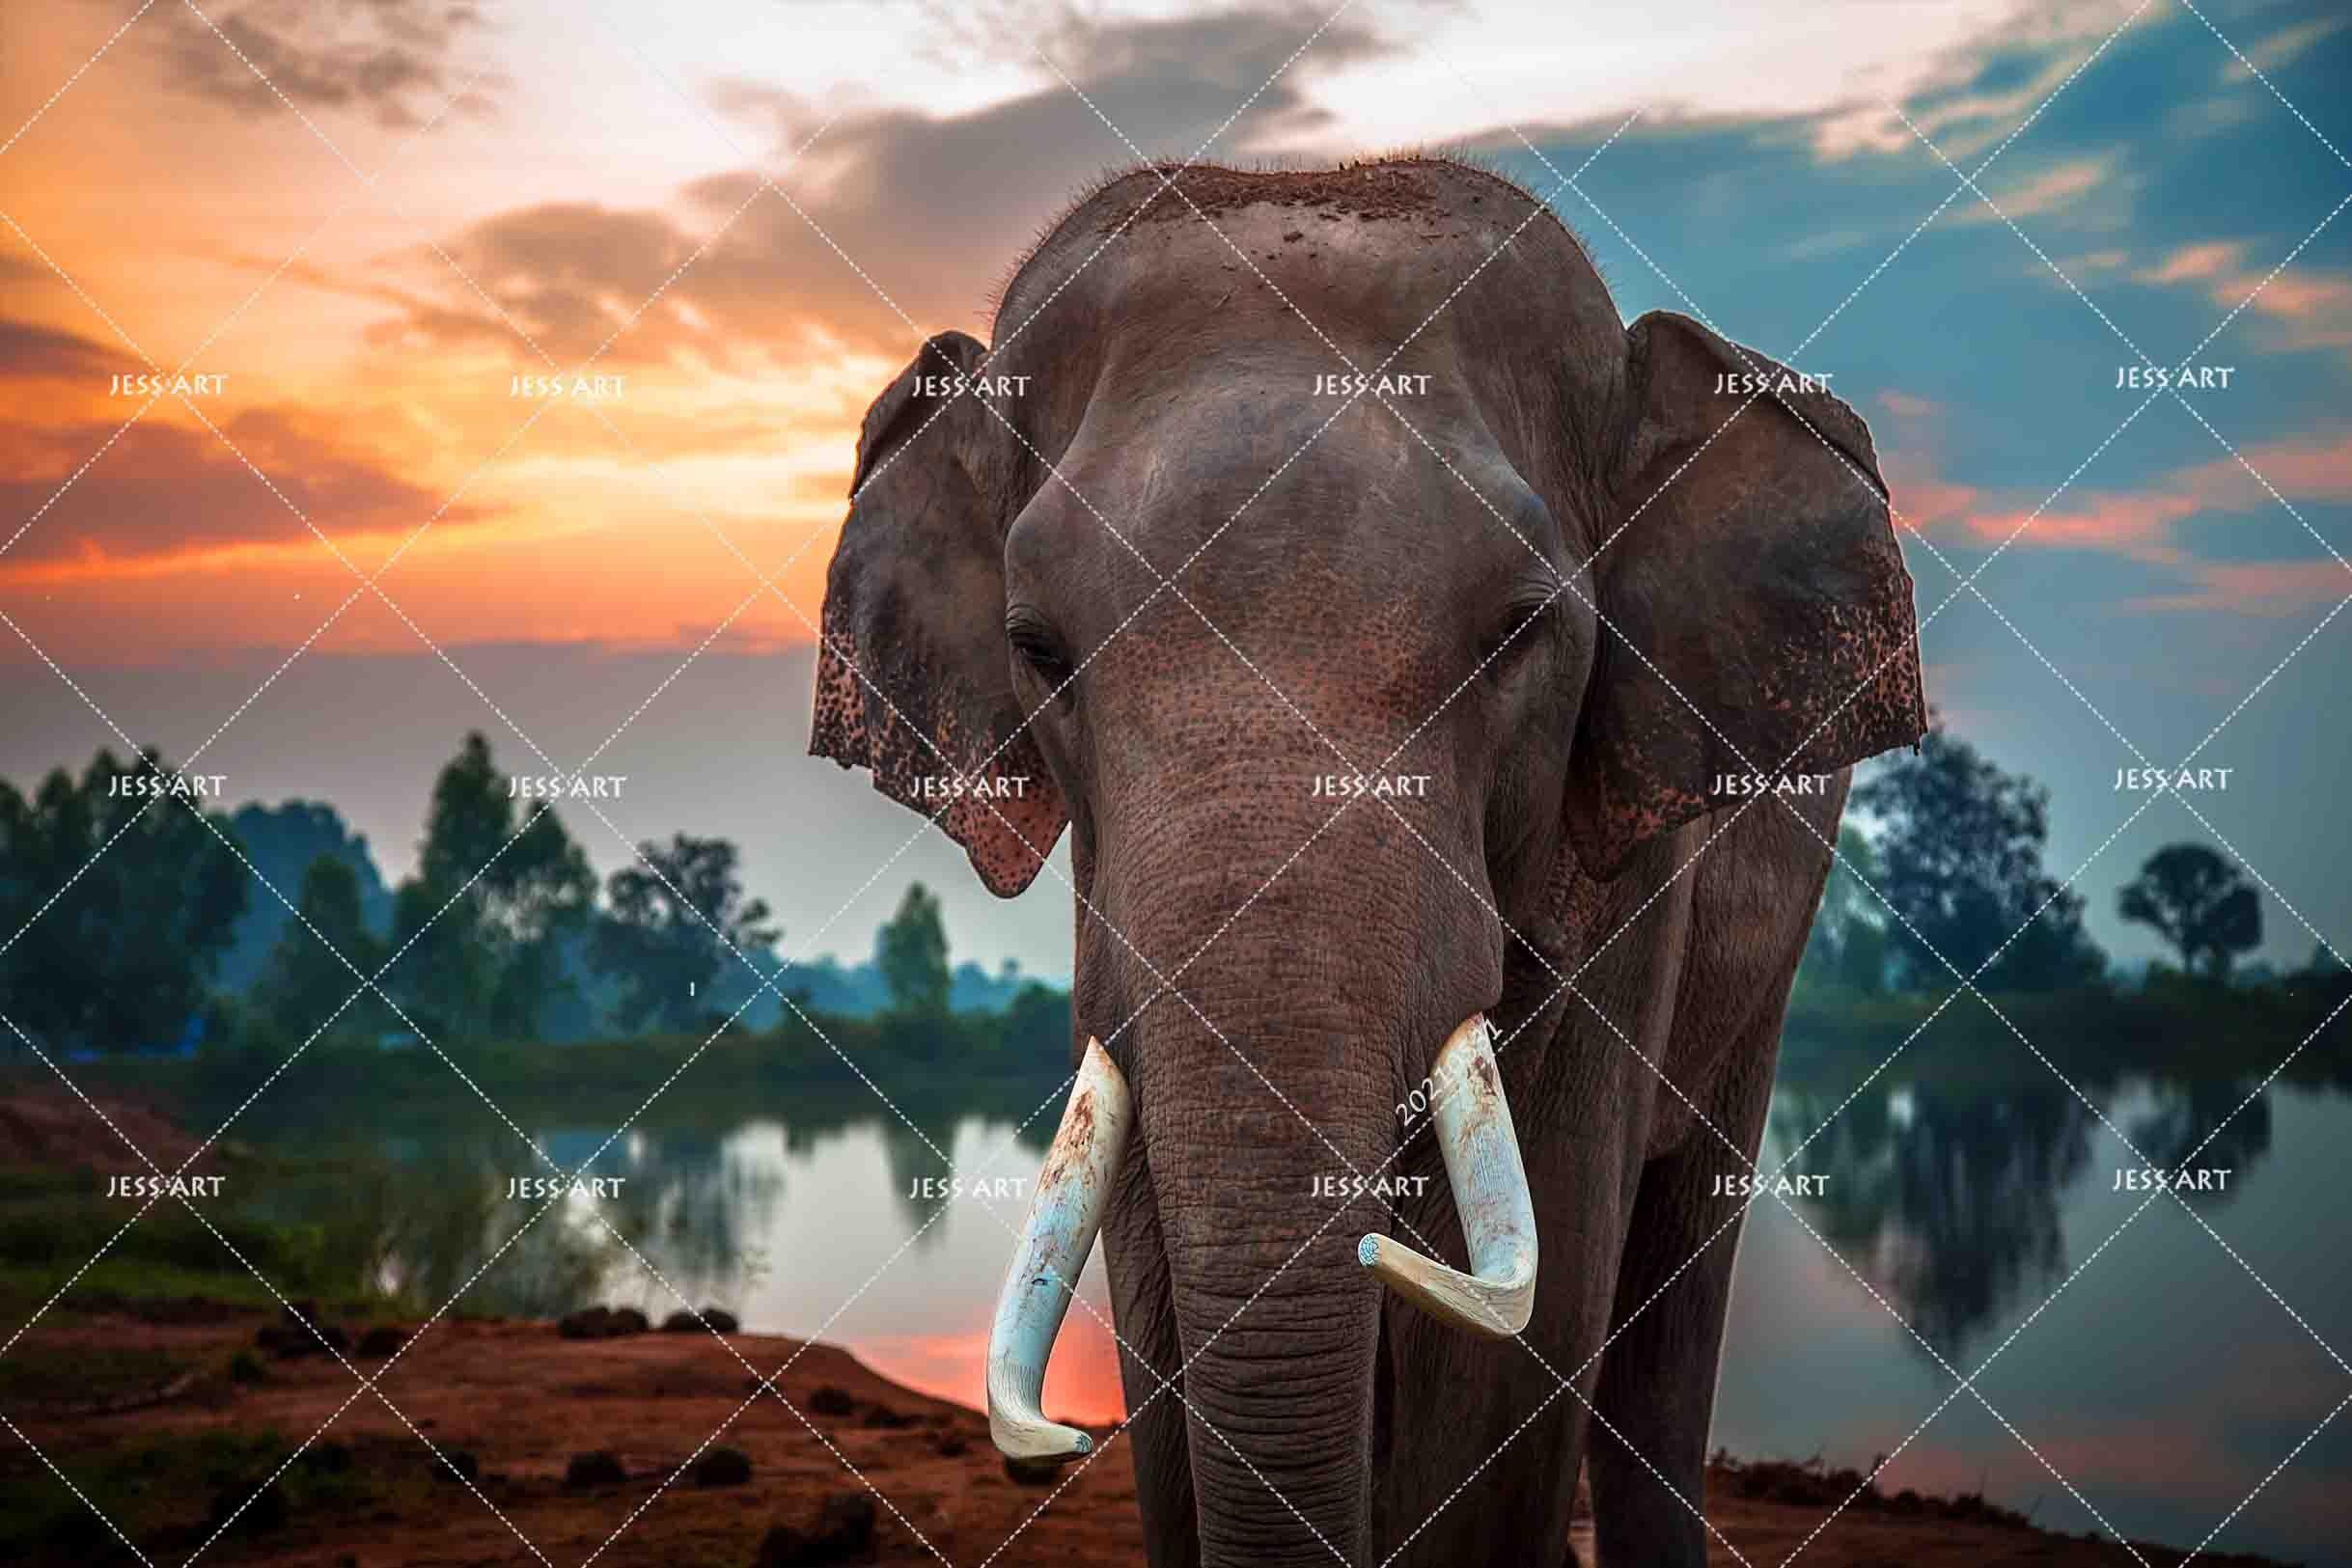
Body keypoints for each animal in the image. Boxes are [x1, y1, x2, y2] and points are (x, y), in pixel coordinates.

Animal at [810, 156, 1926, 1568]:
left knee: (1672, 1278)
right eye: (1038, 648)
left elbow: (1531, 1312)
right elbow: (1155, 1265)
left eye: (1518, 632)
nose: (1054, 1442)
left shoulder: (1629, 874)